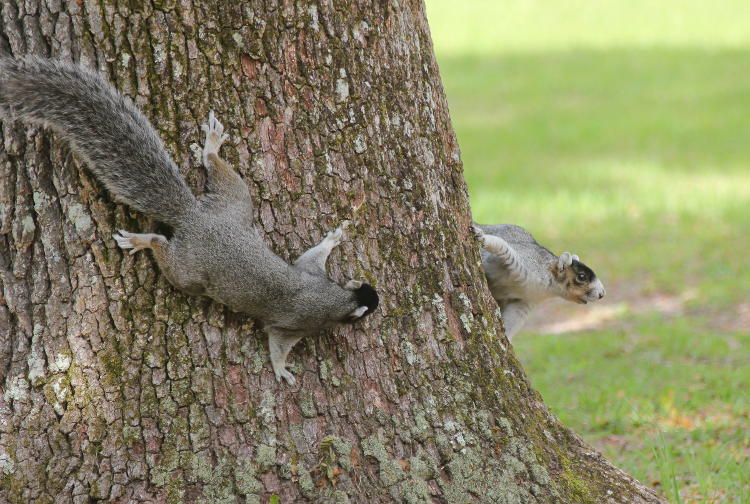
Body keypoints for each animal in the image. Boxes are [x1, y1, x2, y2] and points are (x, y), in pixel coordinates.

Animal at [0, 56, 378, 386]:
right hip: (188, 273)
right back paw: (141, 240)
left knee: (221, 175)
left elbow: (311, 256)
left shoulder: (311, 272)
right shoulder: (296, 324)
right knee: (163, 247)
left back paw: (211, 147)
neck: (336, 298)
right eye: (369, 307)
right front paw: (282, 369)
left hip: (234, 204)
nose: (374, 302)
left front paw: (333, 238)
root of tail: (193, 218)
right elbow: (277, 344)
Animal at [472, 223, 608, 338]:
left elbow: (513, 319)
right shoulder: (523, 261)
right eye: (581, 276)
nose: (602, 294)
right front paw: (482, 237)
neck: (547, 287)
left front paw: (507, 338)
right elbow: (502, 246)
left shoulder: (526, 301)